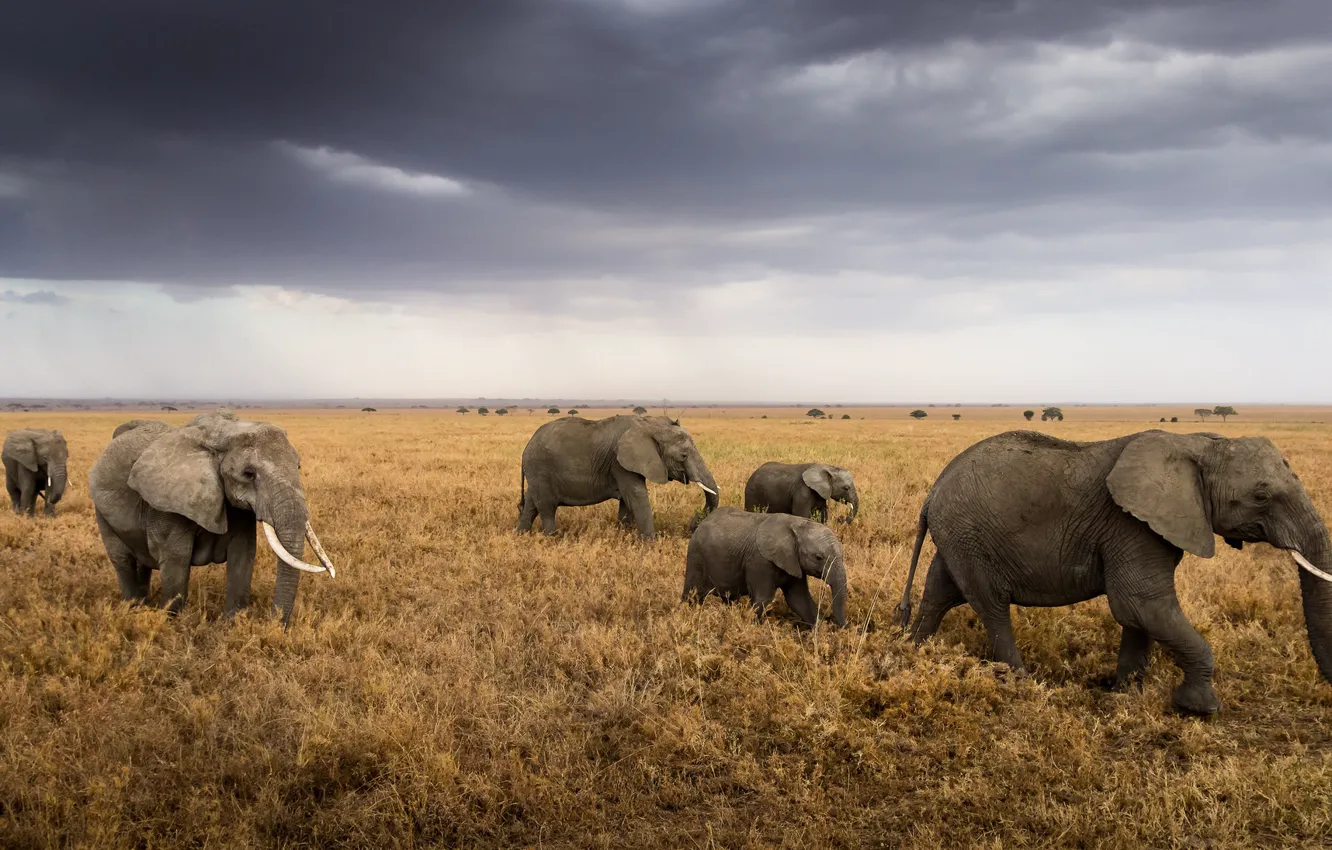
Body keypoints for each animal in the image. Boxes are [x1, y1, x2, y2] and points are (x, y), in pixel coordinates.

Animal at [88, 409, 337, 626]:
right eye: (248, 474)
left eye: (298, 466)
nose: (275, 624)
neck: (224, 433)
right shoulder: (165, 505)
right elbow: (176, 560)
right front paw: (173, 624)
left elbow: (243, 554)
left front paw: (232, 623)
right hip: (102, 513)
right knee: (123, 561)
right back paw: (133, 608)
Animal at [517, 414, 719, 540]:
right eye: (683, 456)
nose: (693, 524)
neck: (650, 424)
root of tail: (526, 447)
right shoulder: (619, 463)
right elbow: (637, 497)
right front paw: (649, 544)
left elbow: (627, 502)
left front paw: (625, 537)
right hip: (541, 469)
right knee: (546, 507)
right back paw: (552, 539)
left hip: (537, 473)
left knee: (531, 504)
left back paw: (520, 535)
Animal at [682, 507, 847, 628]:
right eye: (818, 557)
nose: (844, 627)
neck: (796, 524)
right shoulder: (759, 561)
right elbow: (764, 599)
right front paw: (754, 628)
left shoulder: (793, 563)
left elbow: (799, 599)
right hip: (696, 557)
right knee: (691, 594)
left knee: (729, 599)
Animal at [894, 429, 1332, 715]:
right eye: (1261, 496)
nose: (1327, 690)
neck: (1198, 443)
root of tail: (933, 491)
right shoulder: (1130, 524)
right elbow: (1139, 605)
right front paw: (1199, 709)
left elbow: (1140, 614)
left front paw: (1126, 693)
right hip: (969, 535)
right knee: (991, 605)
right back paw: (1021, 683)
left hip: (958, 536)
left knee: (939, 592)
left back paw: (912, 652)